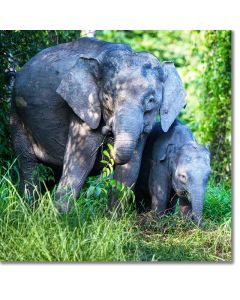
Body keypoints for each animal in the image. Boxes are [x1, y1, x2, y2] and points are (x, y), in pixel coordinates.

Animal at [10, 37, 186, 211]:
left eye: (151, 101)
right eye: (107, 98)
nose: (108, 130)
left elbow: (131, 168)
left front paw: (114, 217)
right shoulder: (84, 108)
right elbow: (81, 160)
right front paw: (60, 217)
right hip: (16, 113)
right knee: (28, 163)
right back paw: (28, 209)